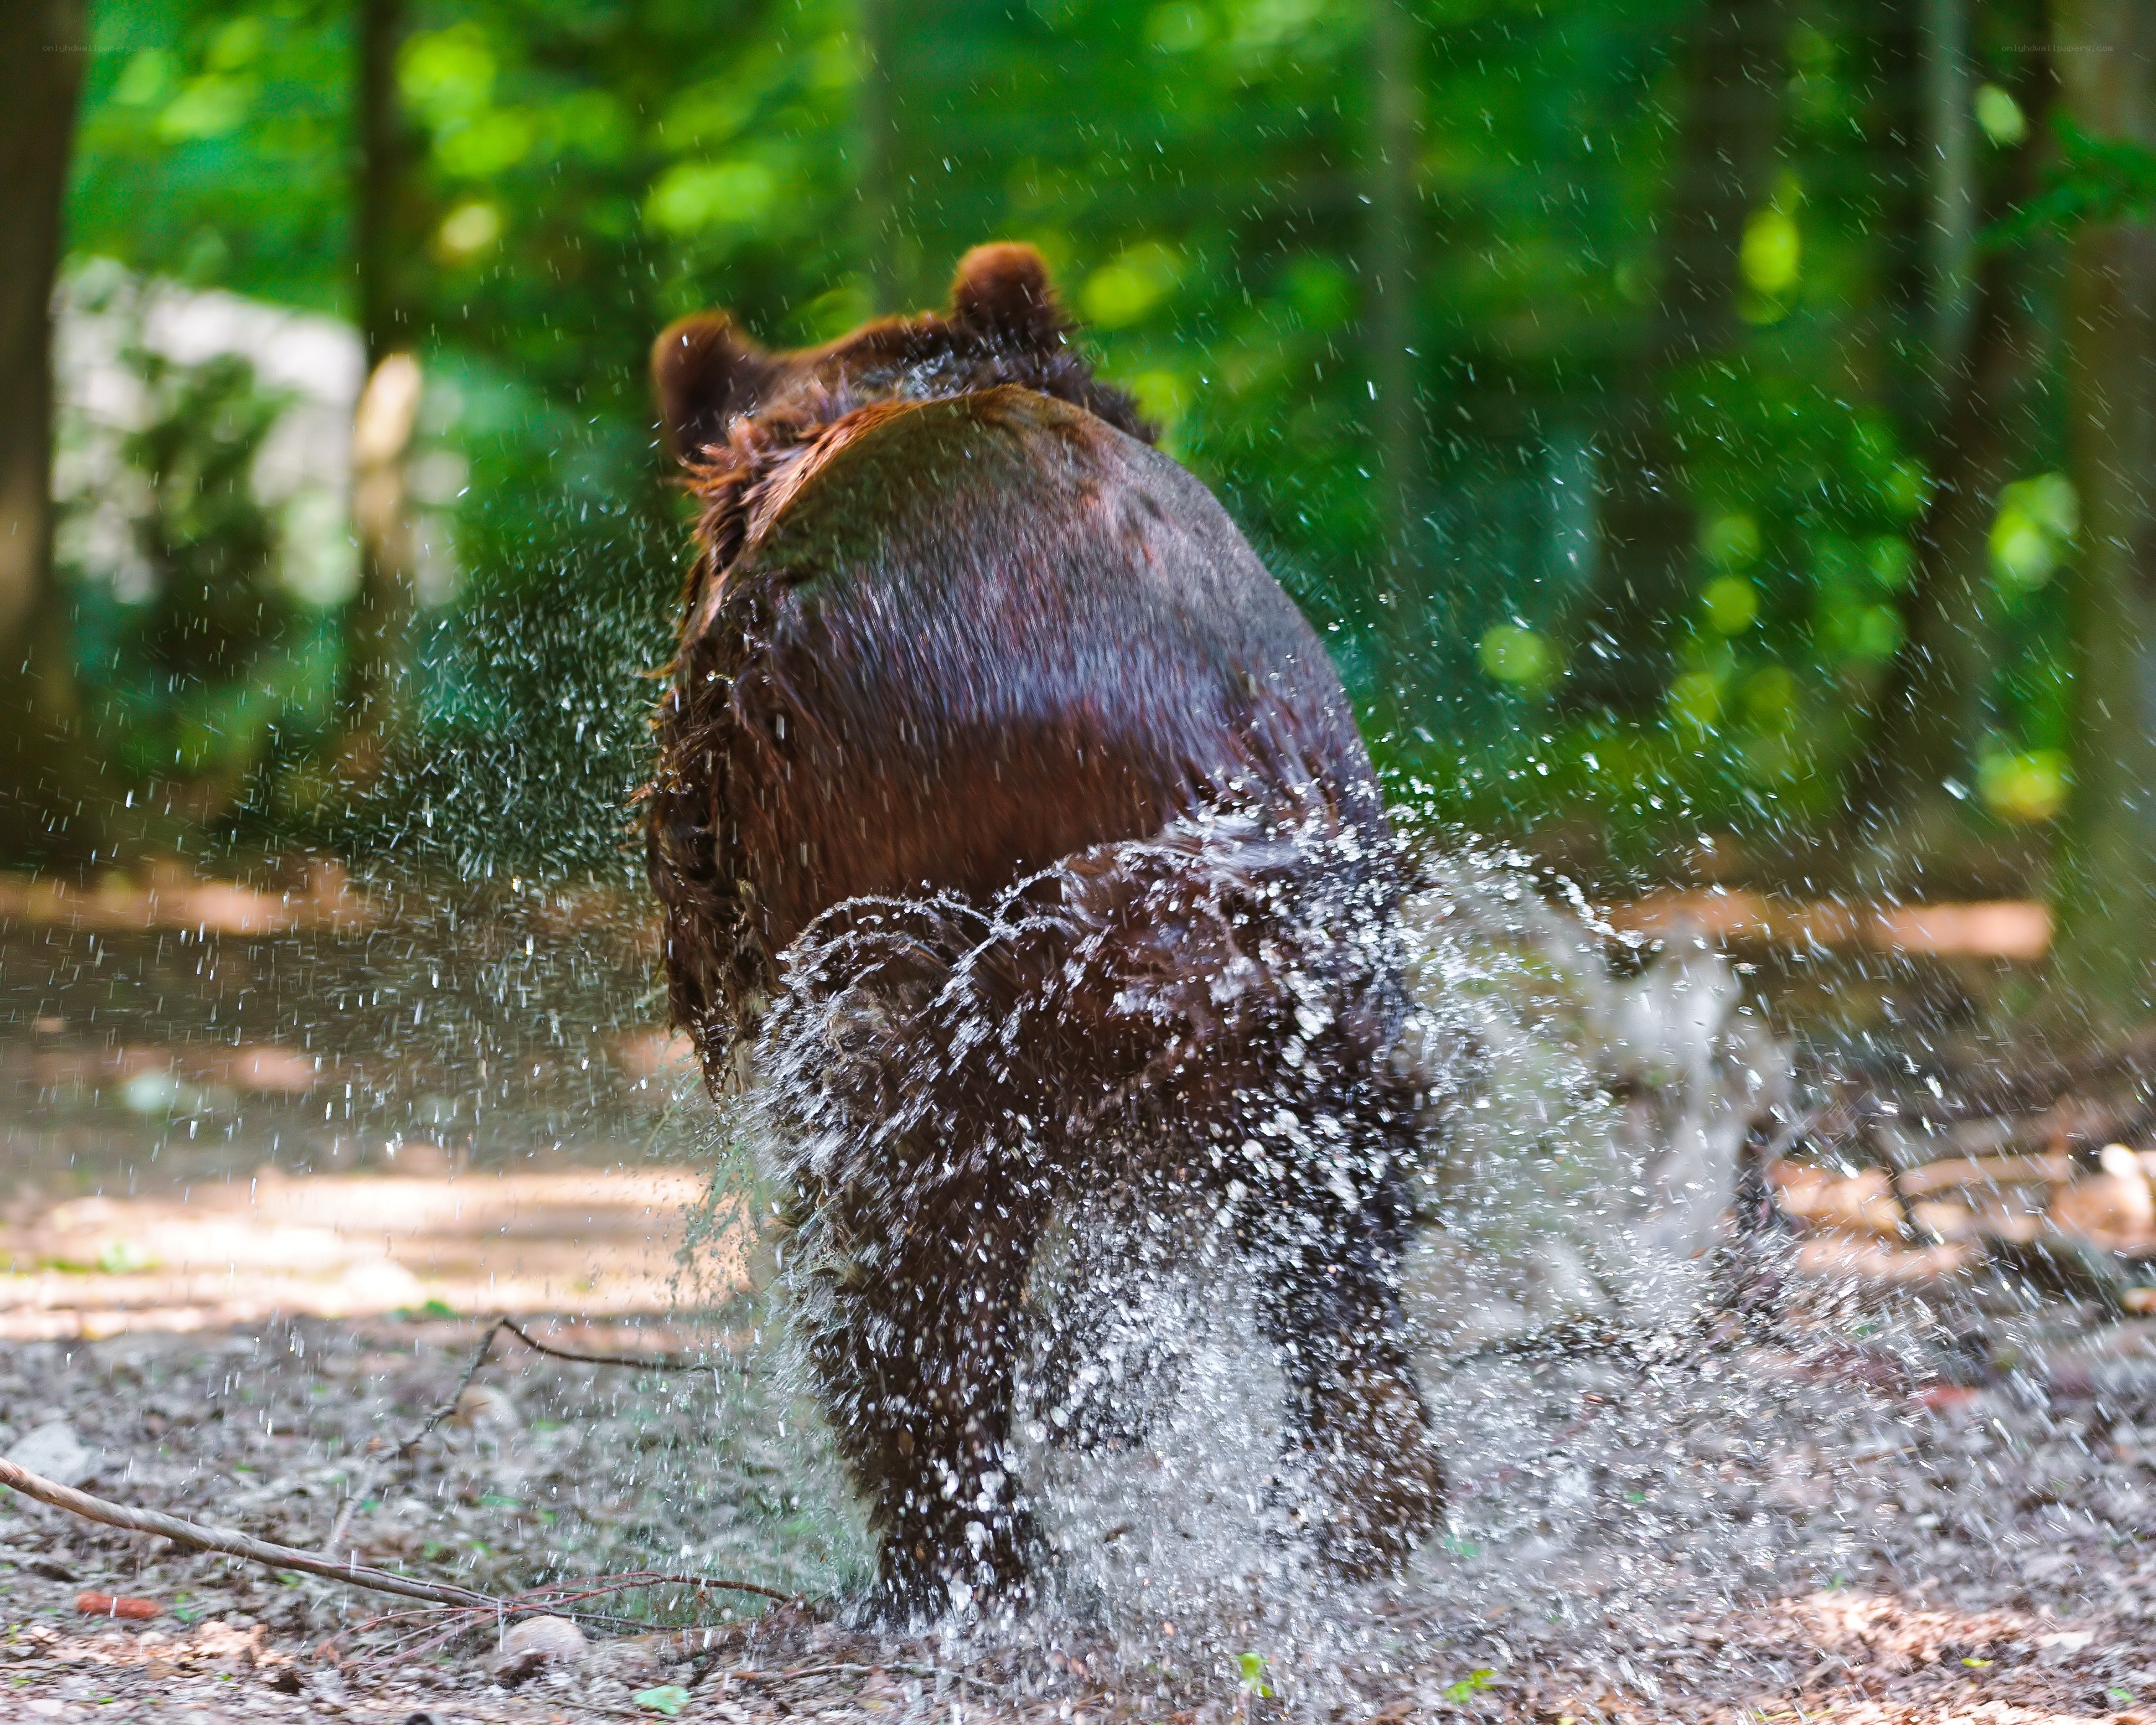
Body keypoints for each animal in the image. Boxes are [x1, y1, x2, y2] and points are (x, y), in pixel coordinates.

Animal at [644, 244, 1443, 1618]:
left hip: (936, 925)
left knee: (901, 1229)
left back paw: (955, 1557)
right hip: (1312, 933)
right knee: (1338, 1204)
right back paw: (1349, 1506)